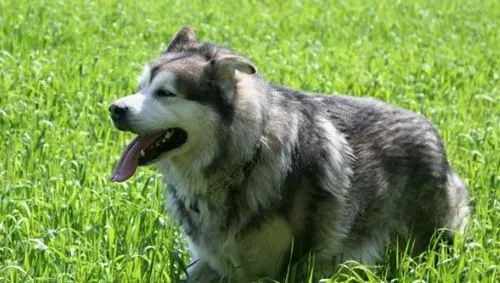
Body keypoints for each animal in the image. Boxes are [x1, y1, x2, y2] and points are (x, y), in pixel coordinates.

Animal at [108, 27, 468, 283]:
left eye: (166, 93)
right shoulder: (209, 263)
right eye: (141, 87)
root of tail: (430, 129)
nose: (114, 109)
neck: (241, 160)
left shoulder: (291, 265)